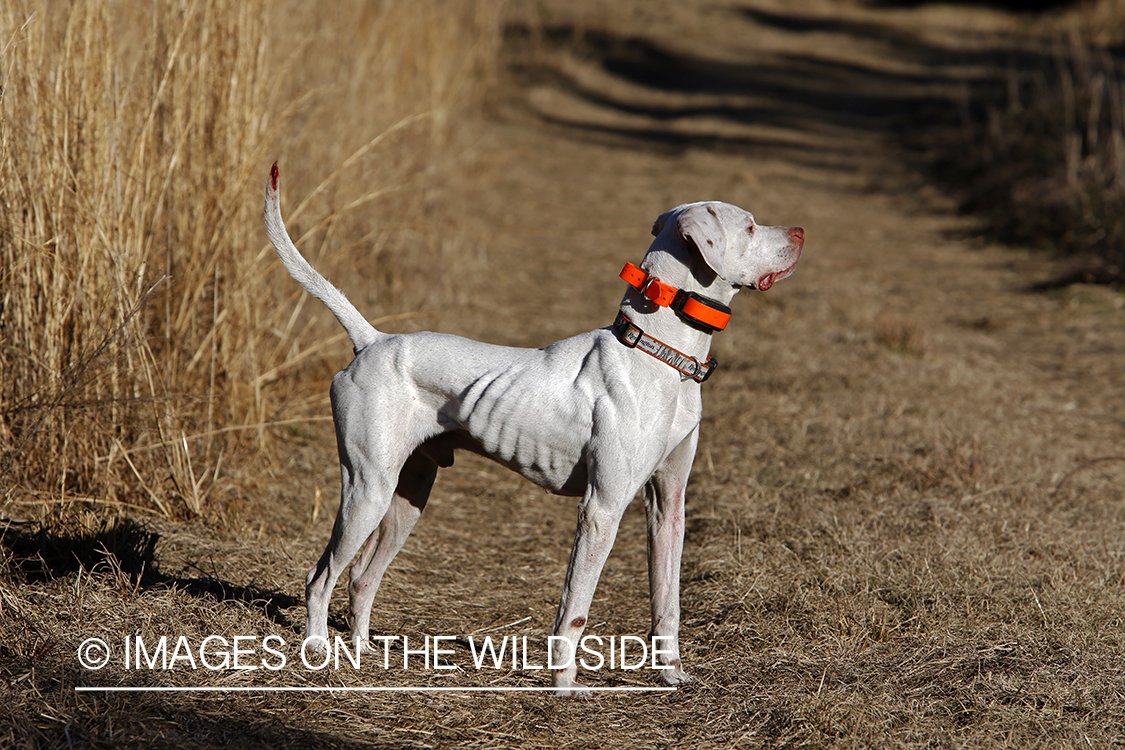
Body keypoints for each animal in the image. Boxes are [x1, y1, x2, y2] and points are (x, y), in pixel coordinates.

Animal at [263, 164, 801, 697]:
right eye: (749, 226)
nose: (800, 232)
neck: (656, 353)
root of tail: (371, 340)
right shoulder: (601, 510)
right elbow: (575, 609)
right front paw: (565, 685)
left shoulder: (668, 506)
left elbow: (666, 603)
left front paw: (670, 675)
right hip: (367, 489)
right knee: (319, 577)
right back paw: (316, 649)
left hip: (407, 497)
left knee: (360, 577)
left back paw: (362, 650)